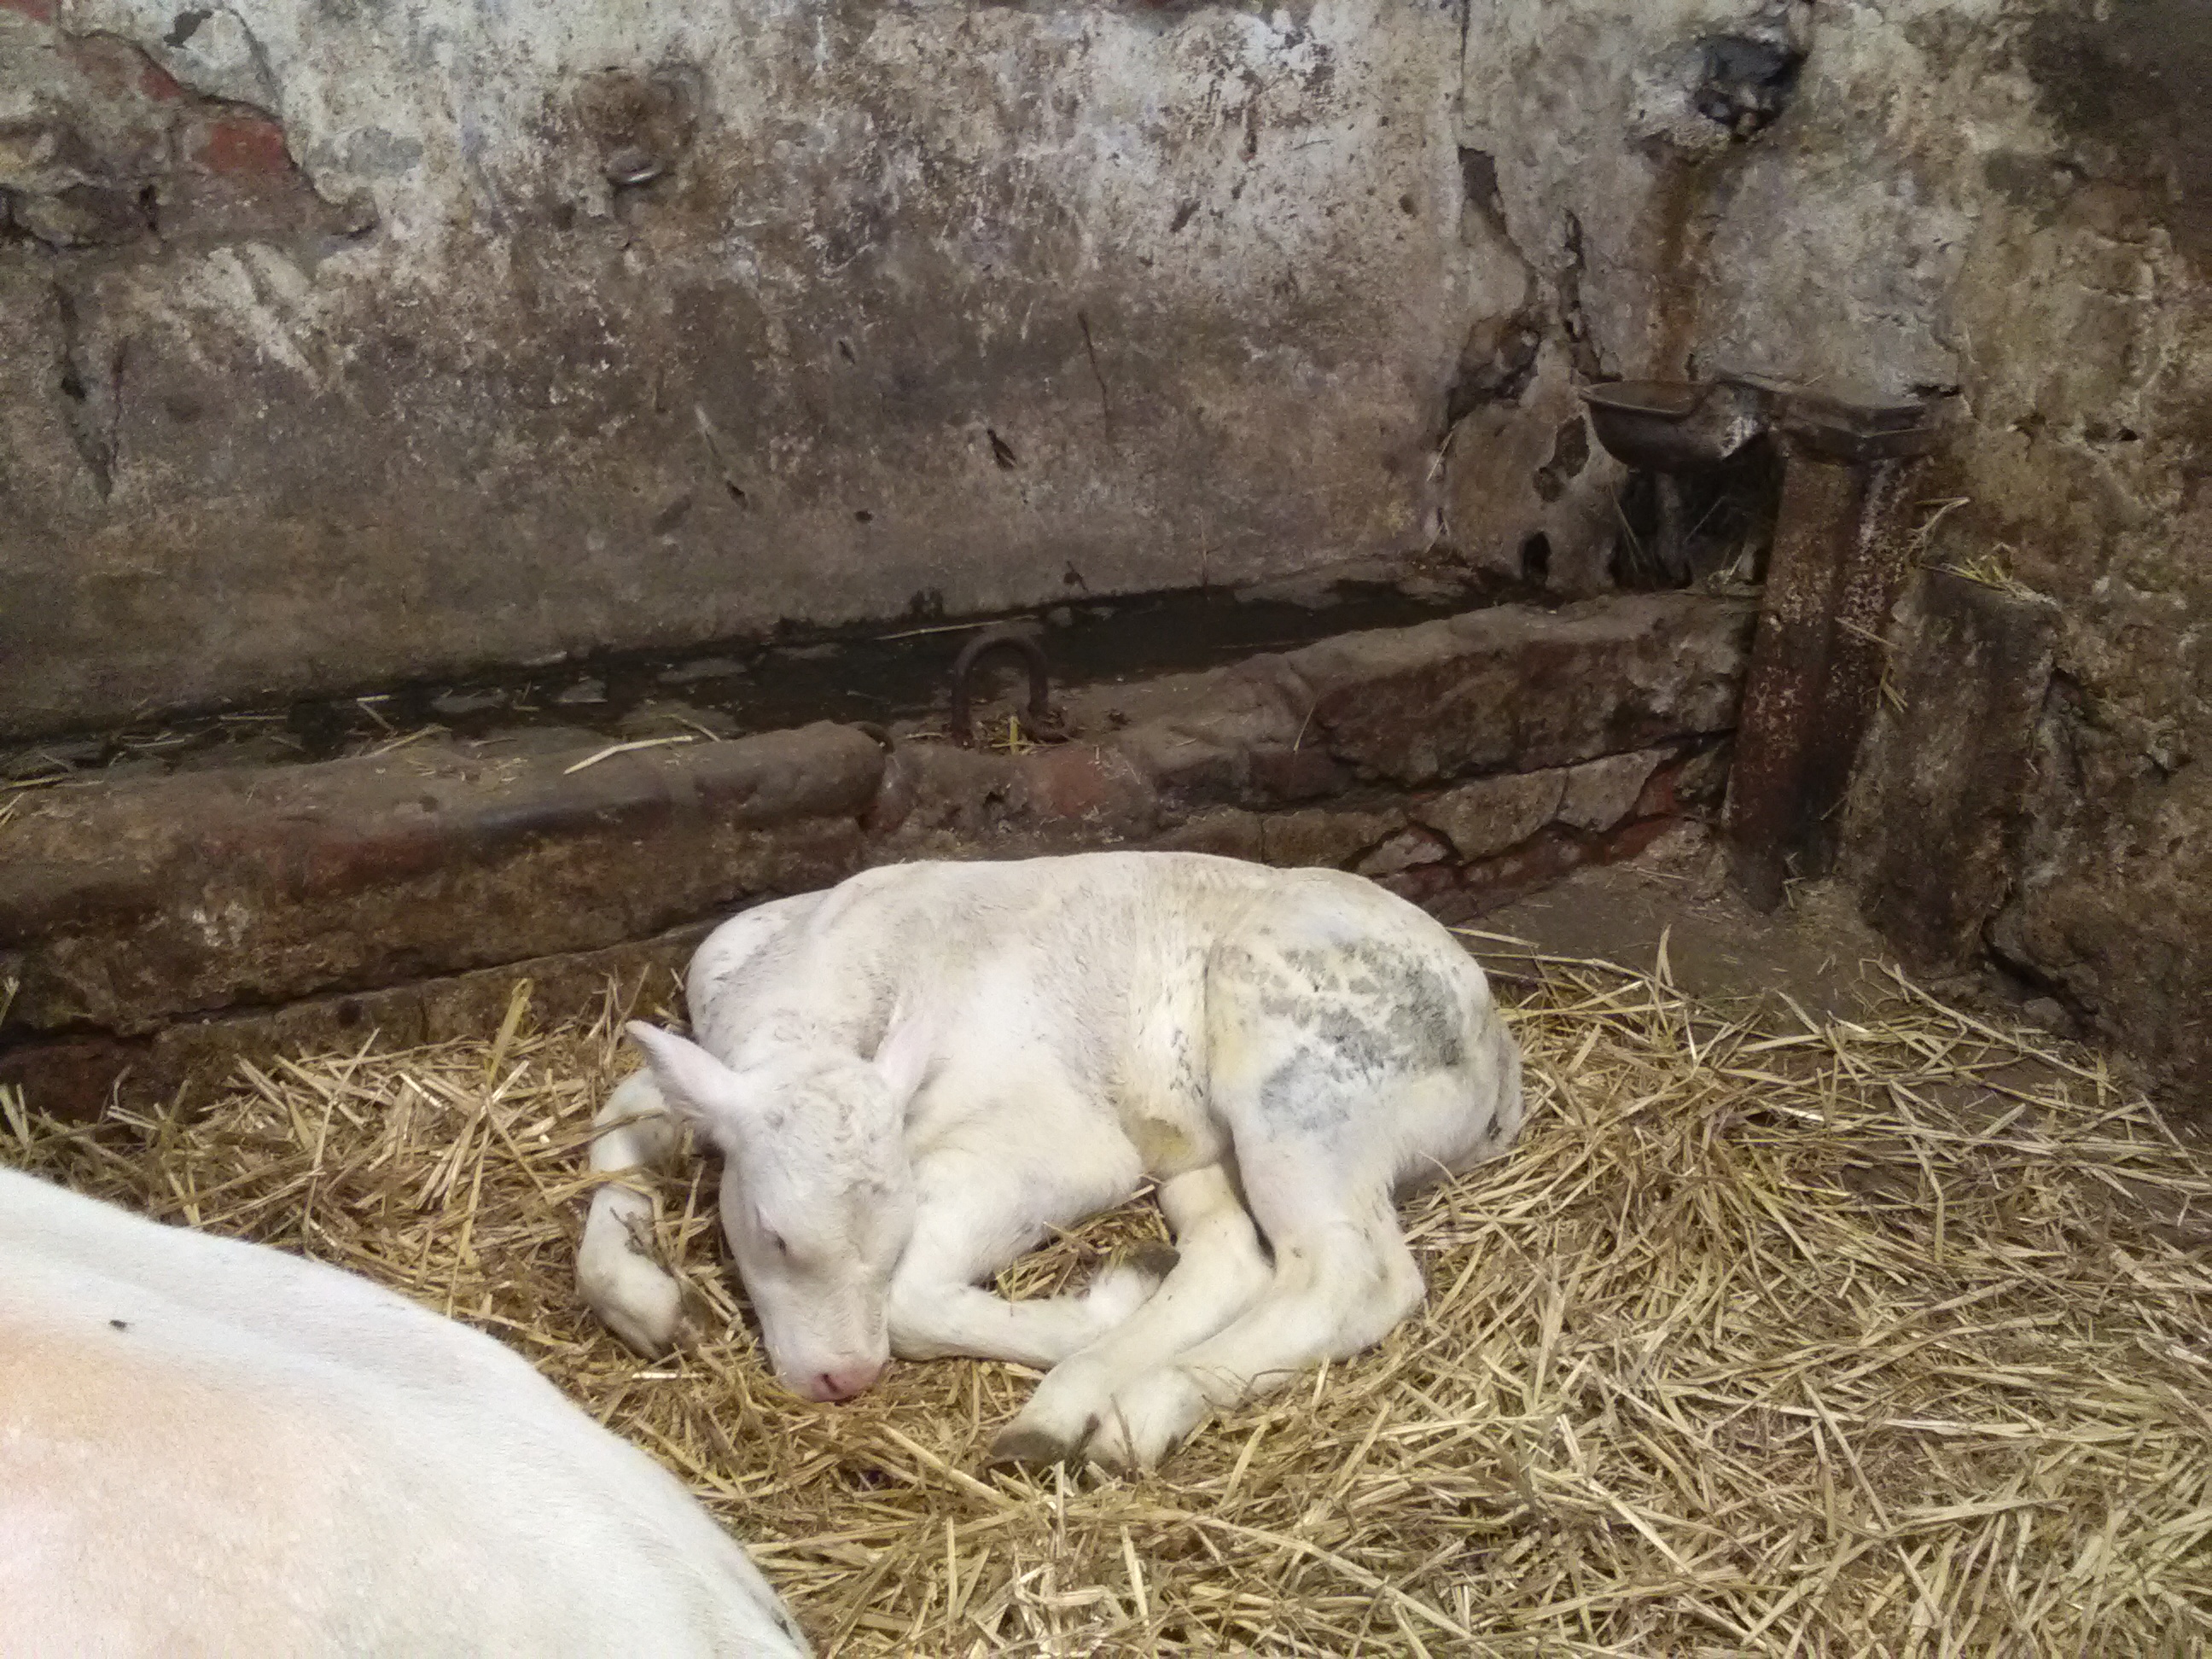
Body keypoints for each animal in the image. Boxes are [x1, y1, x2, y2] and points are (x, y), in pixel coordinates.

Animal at [579, 849, 1530, 1477]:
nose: (843, 1378)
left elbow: (911, 1299)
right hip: (1198, 1133)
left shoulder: (1062, 1139)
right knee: (1236, 1255)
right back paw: (1089, 1388)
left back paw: (1134, 1408)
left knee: (1349, 1273)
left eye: (891, 1232)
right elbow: (616, 1123)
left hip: (1299, 1077)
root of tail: (1495, 1035)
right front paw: (647, 1302)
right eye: (773, 1236)